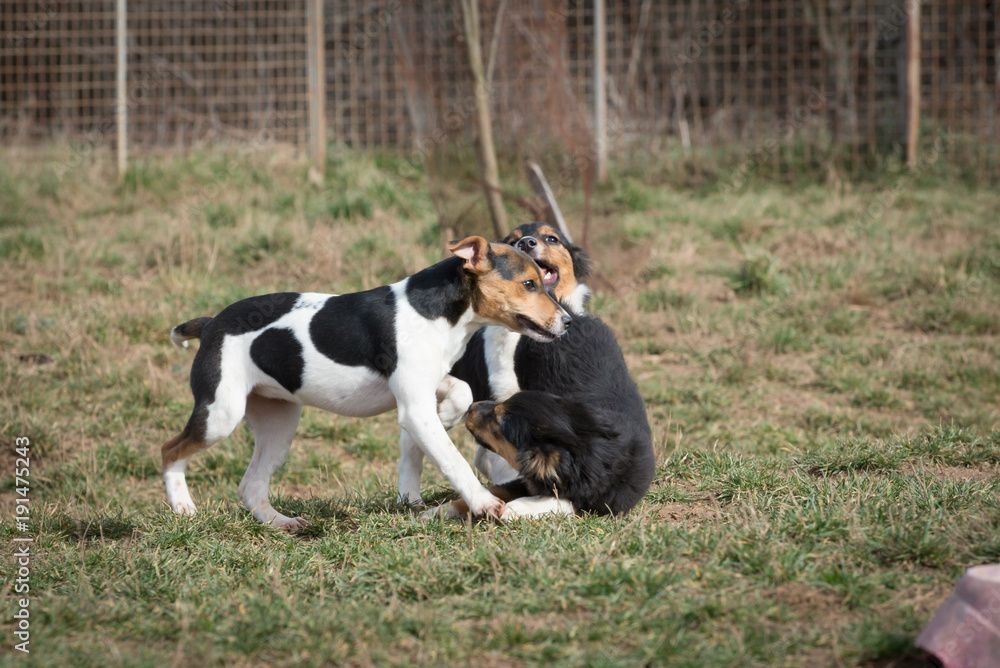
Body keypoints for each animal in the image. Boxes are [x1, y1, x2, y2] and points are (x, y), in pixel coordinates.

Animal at [164, 237, 572, 528]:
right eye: (529, 284)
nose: (567, 322)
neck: (442, 310)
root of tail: (212, 323)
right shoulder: (414, 406)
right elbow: (453, 461)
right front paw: (484, 503)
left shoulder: (425, 384)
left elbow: (461, 392)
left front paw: (447, 417)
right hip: (221, 414)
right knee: (170, 451)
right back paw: (183, 506)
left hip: (278, 425)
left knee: (250, 486)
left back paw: (282, 523)